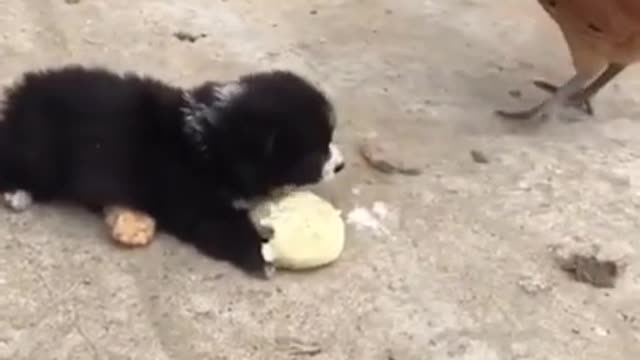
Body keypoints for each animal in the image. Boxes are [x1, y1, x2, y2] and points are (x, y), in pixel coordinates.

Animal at [0, 65, 344, 278]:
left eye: (330, 139)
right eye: (315, 152)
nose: (340, 165)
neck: (215, 140)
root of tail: (20, 99)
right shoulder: (197, 202)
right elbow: (225, 226)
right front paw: (261, 257)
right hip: (41, 152)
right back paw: (16, 193)